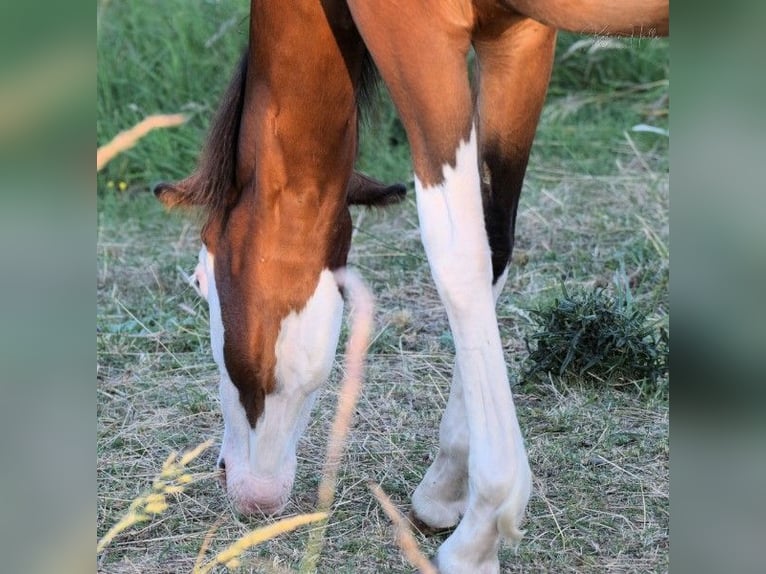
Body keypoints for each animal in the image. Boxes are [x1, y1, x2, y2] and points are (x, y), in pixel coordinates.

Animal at [159, 0, 668, 572]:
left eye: (201, 280)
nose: (237, 480)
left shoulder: (415, 32)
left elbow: (458, 257)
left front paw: (481, 530)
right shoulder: (519, 37)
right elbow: (494, 240)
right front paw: (445, 490)